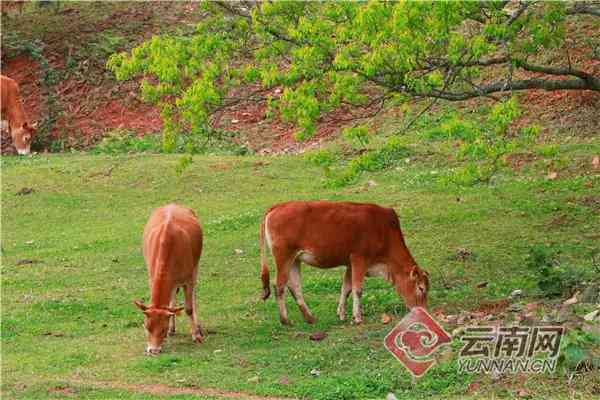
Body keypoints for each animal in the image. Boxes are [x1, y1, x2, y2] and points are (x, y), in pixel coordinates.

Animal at [134, 205, 204, 354]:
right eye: (146, 327)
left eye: (162, 329)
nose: (153, 350)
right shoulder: (152, 277)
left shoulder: (188, 279)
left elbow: (188, 308)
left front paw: (196, 335)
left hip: (195, 266)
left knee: (193, 294)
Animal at [260, 200, 428, 324]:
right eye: (421, 288)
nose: (423, 311)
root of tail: (278, 206)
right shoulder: (359, 258)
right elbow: (357, 289)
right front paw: (357, 318)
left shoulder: (350, 263)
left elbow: (346, 288)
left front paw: (341, 314)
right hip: (284, 256)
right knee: (279, 286)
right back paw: (285, 320)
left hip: (295, 259)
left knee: (294, 286)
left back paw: (310, 318)